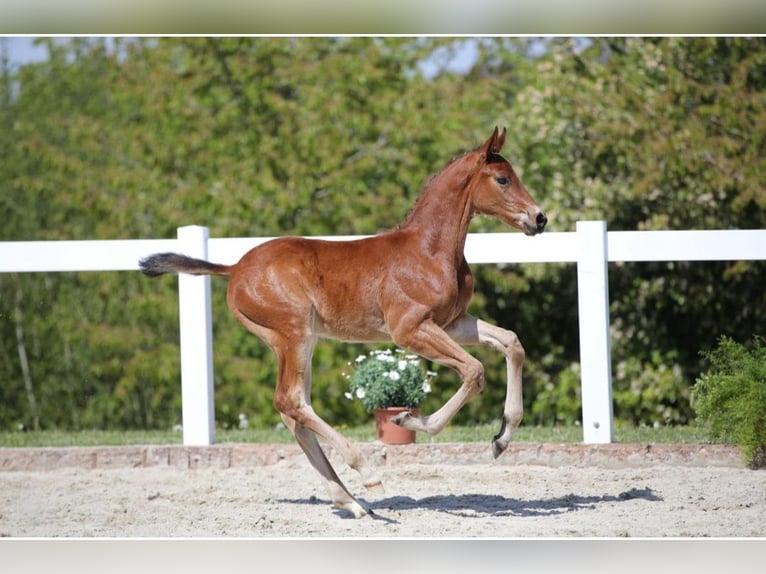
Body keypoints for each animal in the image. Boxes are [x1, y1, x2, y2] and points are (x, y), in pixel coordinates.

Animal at [138, 128, 544, 520]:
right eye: (503, 179)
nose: (539, 218)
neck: (429, 251)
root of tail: (234, 268)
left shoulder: (452, 322)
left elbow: (511, 342)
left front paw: (501, 439)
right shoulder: (410, 330)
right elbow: (474, 371)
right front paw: (409, 422)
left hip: (296, 340)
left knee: (294, 410)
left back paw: (350, 501)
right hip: (293, 333)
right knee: (290, 401)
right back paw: (366, 473)